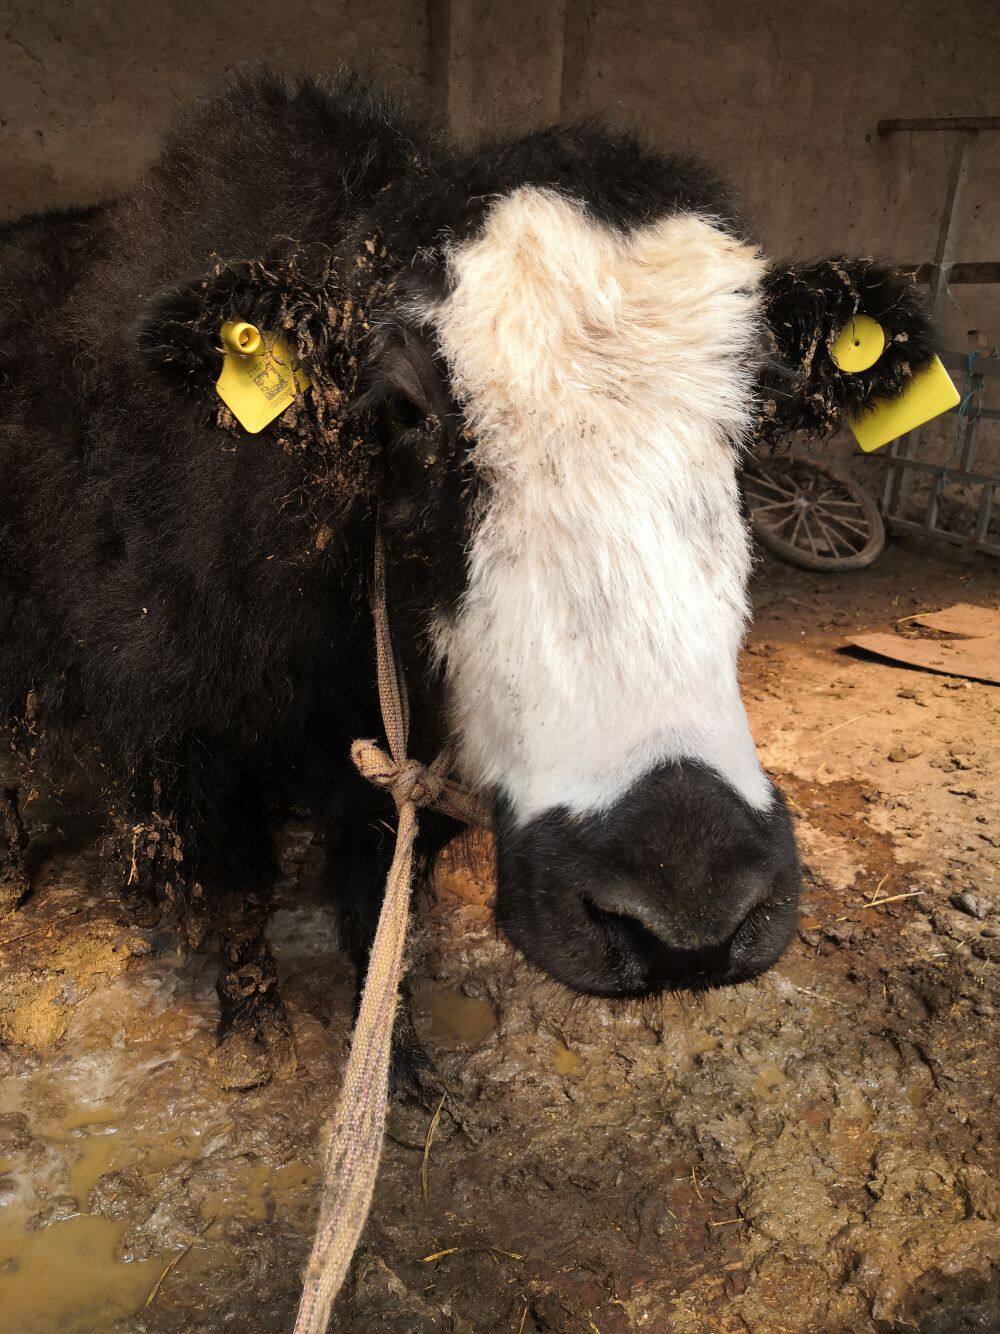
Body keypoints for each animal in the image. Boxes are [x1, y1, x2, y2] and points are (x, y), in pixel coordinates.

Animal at [0, 69, 935, 1088]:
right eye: (406, 408)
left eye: (759, 404)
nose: (689, 909)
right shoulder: (189, 724)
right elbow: (235, 886)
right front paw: (255, 1023)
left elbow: (380, 898)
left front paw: (396, 1055)